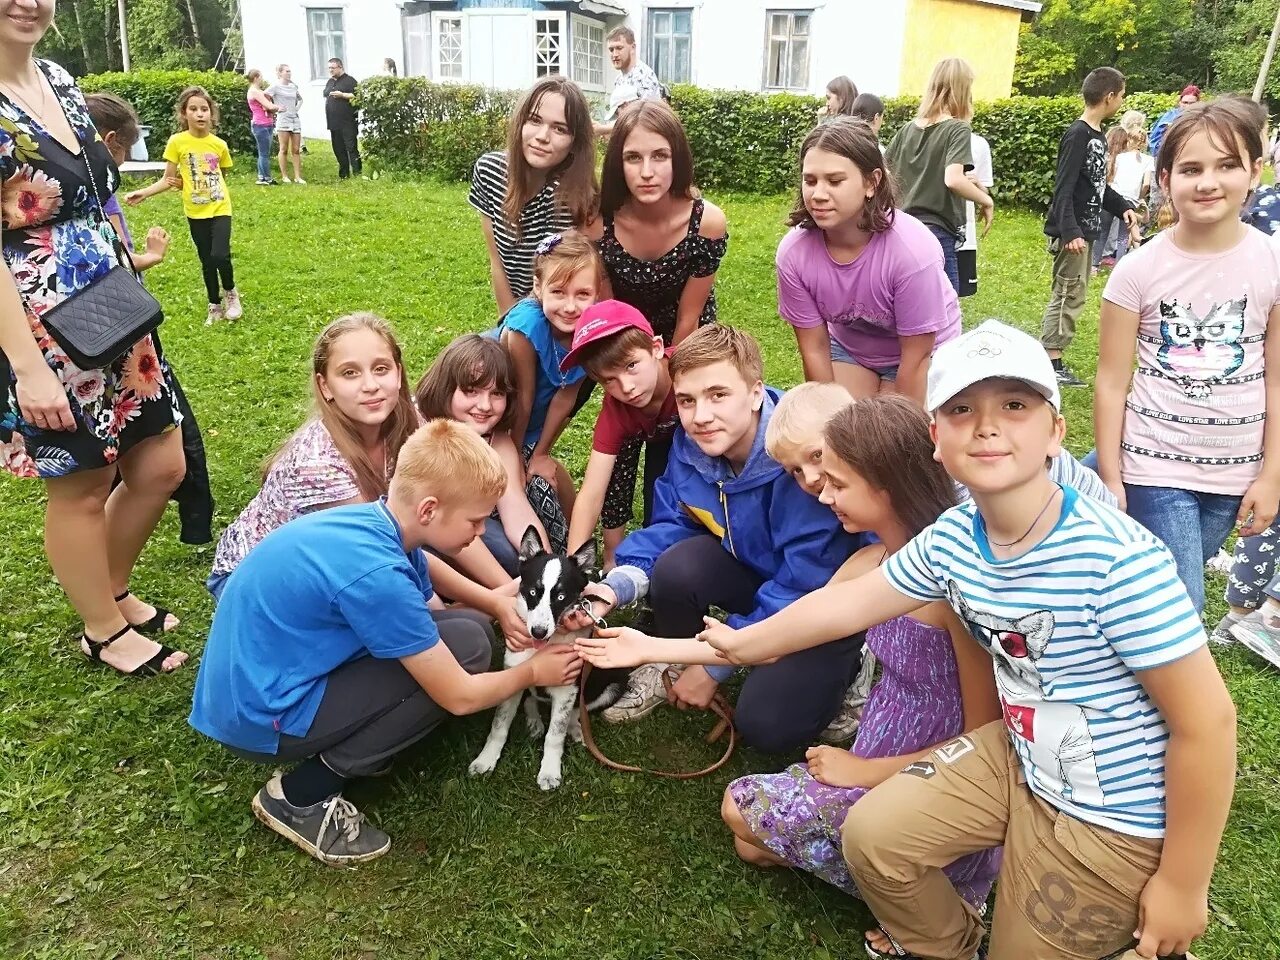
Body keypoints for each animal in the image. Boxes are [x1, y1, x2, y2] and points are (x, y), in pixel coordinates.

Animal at [473, 529, 627, 793]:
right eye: (533, 592)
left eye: (561, 597)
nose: (537, 632)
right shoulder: (512, 675)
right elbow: (499, 725)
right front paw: (486, 759)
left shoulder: (567, 690)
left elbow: (555, 734)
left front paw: (549, 772)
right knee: (531, 699)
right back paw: (535, 721)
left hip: (612, 685)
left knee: (578, 710)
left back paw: (575, 729)